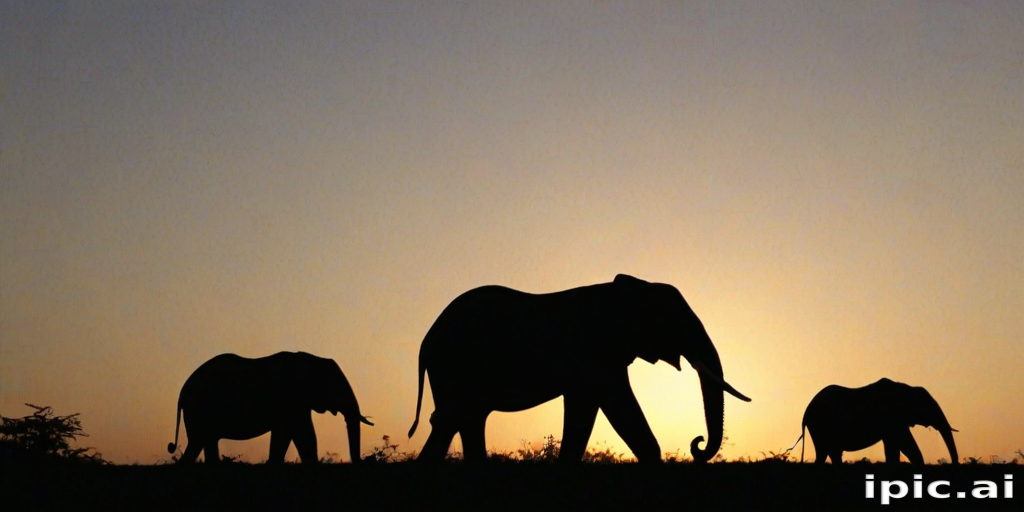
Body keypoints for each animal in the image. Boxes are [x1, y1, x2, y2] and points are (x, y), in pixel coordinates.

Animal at [167, 351, 373, 464]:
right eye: (336, 387)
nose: (365, 459)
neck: (312, 359)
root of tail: (182, 393)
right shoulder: (292, 398)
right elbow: (304, 434)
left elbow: (285, 435)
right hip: (200, 408)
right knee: (199, 442)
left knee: (204, 443)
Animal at [407, 274, 751, 464]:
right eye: (673, 320)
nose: (698, 444)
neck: (626, 289)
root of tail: (425, 341)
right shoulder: (596, 355)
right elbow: (617, 406)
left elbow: (584, 411)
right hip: (456, 366)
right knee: (456, 419)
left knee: (457, 421)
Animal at [792, 378, 959, 465]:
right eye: (928, 407)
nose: (953, 463)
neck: (906, 387)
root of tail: (805, 414)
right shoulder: (891, 417)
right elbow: (905, 444)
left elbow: (894, 447)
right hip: (820, 425)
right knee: (825, 452)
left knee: (831, 453)